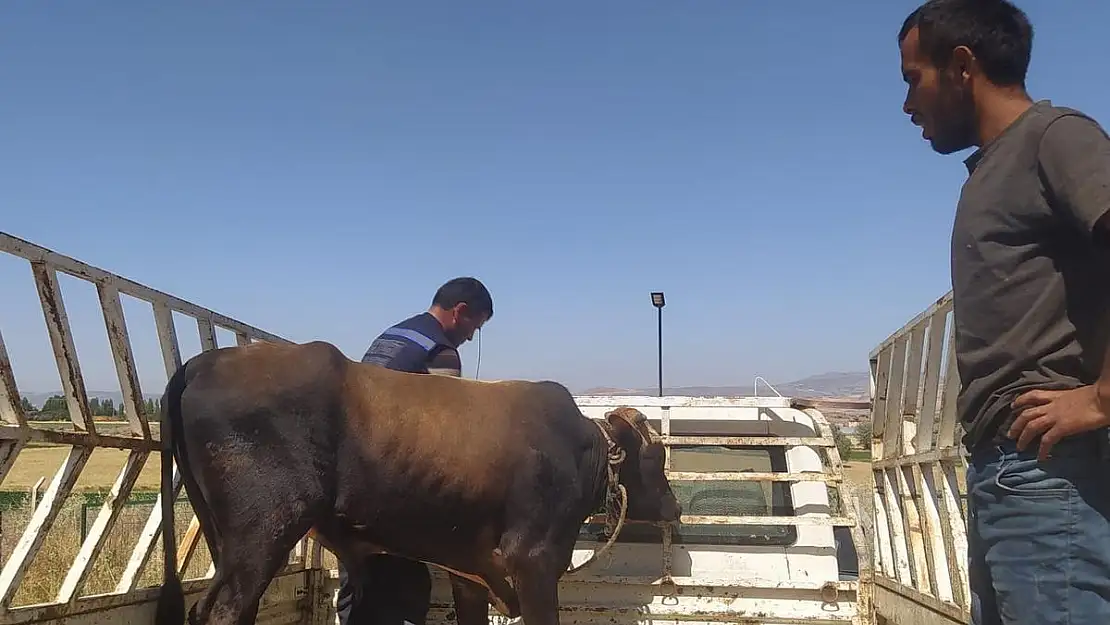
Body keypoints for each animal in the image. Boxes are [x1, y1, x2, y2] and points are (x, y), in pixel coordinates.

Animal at [152, 341, 679, 625]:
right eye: (655, 456)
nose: (673, 509)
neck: (579, 450)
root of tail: (203, 363)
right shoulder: (534, 562)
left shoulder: (471, 569)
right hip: (263, 533)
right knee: (224, 611)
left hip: (229, 542)